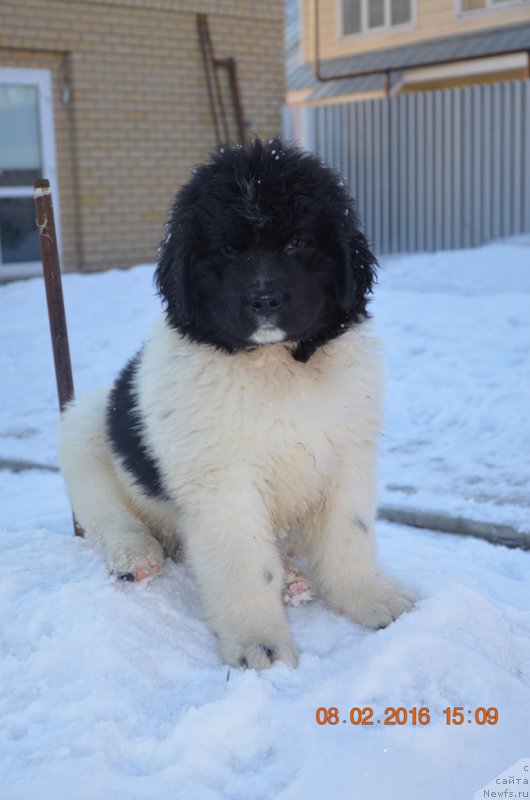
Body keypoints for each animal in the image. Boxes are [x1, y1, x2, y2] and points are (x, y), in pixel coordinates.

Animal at [57, 139, 412, 668]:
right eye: (227, 250)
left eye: (296, 244)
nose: (264, 300)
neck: (274, 367)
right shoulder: (224, 483)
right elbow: (245, 566)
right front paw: (257, 644)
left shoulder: (347, 456)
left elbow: (350, 538)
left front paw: (374, 600)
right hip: (84, 429)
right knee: (110, 519)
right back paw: (136, 557)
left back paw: (294, 580)